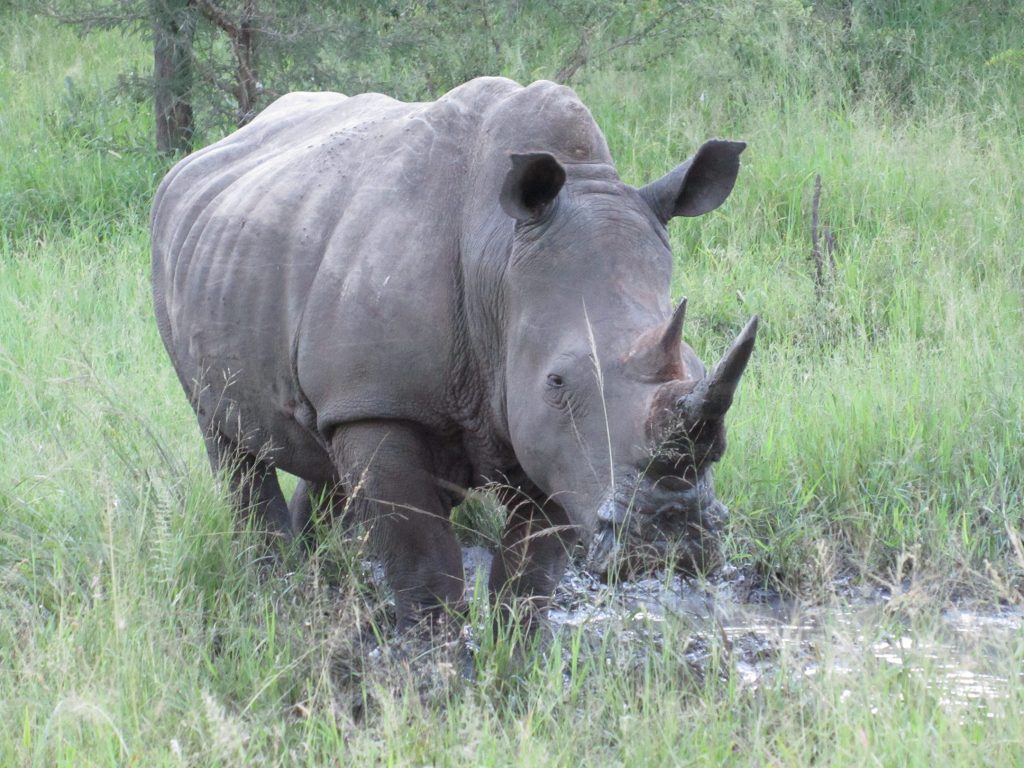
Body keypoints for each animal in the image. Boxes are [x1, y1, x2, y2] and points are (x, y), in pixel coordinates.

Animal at [151, 77, 757, 629]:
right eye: (558, 382)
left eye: (697, 366)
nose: (671, 534)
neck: (498, 257)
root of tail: (197, 159)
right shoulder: (384, 403)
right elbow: (427, 572)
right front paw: (431, 671)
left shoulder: (556, 446)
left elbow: (529, 581)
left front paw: (513, 665)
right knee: (227, 441)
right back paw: (274, 594)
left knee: (319, 444)